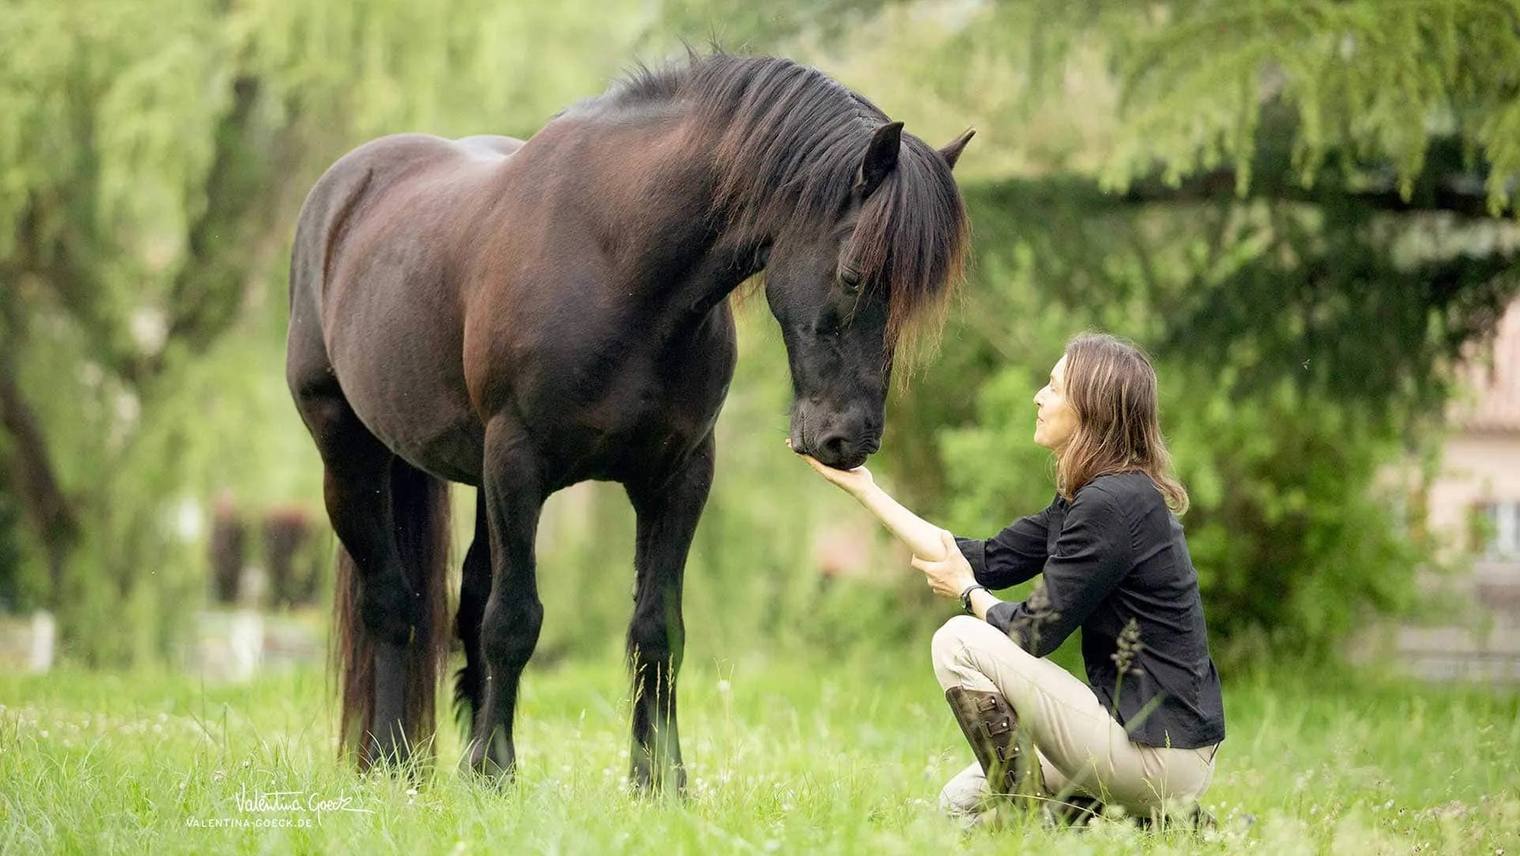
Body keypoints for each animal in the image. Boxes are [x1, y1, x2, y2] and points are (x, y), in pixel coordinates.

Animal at [285, 52, 973, 790]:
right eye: (852, 274)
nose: (850, 440)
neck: (617, 263)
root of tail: (342, 192)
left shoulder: (677, 476)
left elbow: (656, 630)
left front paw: (660, 779)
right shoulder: (516, 463)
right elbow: (514, 619)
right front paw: (498, 772)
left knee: (465, 600)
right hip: (350, 456)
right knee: (393, 606)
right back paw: (387, 762)